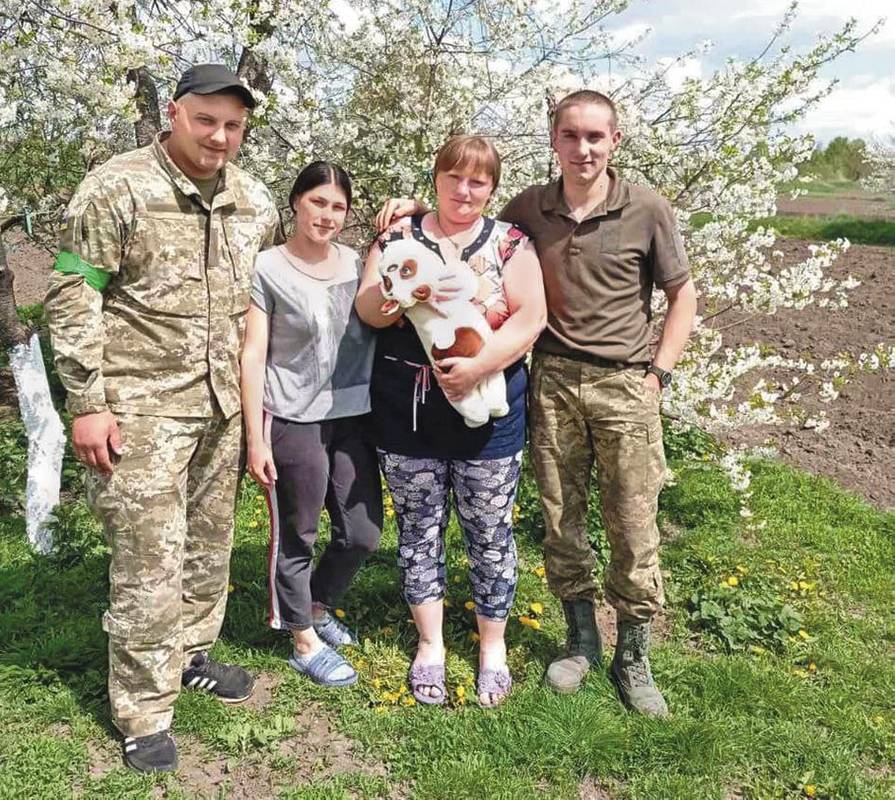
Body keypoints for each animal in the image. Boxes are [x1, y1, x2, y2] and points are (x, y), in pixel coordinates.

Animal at [376, 238, 508, 428]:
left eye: (405, 270)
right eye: (387, 282)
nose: (389, 289)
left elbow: (466, 282)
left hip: (490, 370)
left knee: (493, 388)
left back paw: (498, 408)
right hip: (456, 392)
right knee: (472, 407)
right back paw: (478, 419)